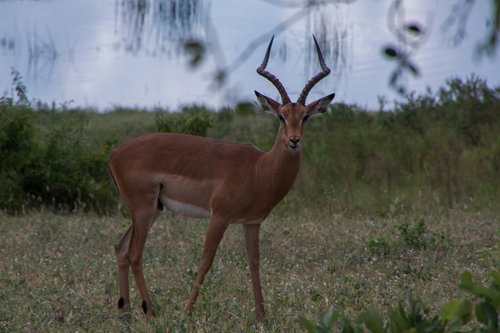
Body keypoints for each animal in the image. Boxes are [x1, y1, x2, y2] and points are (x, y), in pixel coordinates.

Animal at [109, 35, 336, 318]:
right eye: (281, 116)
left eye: (305, 116)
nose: (294, 141)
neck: (258, 168)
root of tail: (114, 153)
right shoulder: (219, 216)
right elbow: (206, 260)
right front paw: (186, 312)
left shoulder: (252, 222)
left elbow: (254, 263)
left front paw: (262, 316)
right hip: (143, 209)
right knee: (134, 254)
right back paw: (150, 311)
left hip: (152, 210)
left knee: (120, 249)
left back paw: (126, 314)